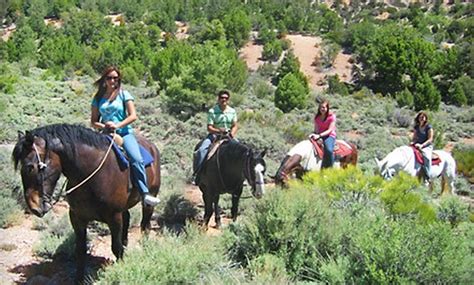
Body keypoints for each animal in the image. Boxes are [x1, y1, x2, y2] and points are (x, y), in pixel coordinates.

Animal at [12, 123, 161, 280]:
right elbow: (80, 251)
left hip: (149, 199)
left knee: (145, 226)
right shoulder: (77, 218)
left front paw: (121, 271)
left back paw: (145, 249)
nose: (33, 207)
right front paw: (79, 279)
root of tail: (152, 146)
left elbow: (116, 248)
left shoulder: (114, 217)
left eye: (30, 167)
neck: (91, 175)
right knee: (127, 220)